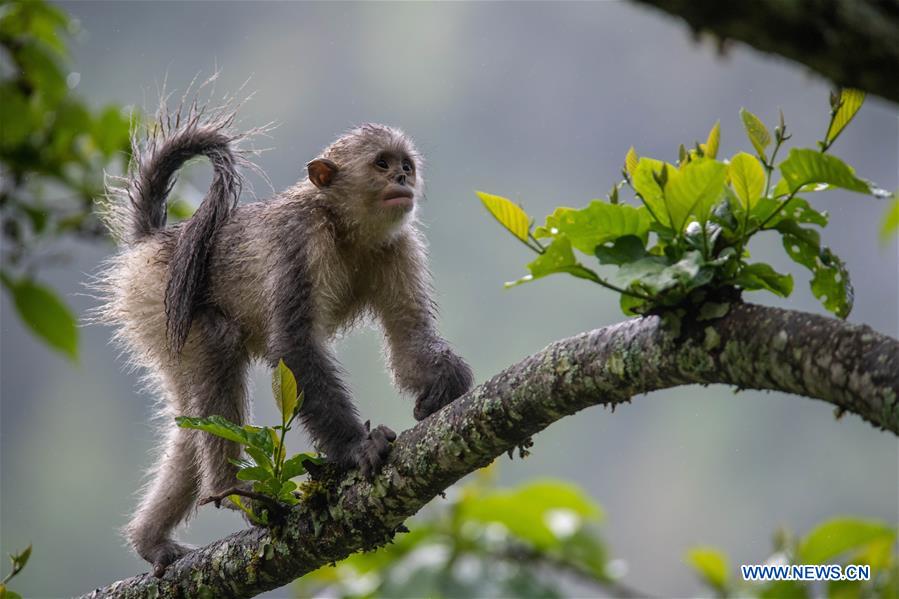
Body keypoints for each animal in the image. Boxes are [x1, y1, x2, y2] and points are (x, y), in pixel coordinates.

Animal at [96, 95, 478, 576]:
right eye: (382, 163)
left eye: (406, 165)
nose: (403, 179)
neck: (342, 227)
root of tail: (154, 240)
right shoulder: (300, 239)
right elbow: (293, 346)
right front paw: (356, 447)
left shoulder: (398, 245)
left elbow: (409, 344)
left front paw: (444, 387)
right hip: (156, 300)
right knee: (218, 344)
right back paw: (232, 491)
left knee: (188, 424)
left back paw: (152, 539)